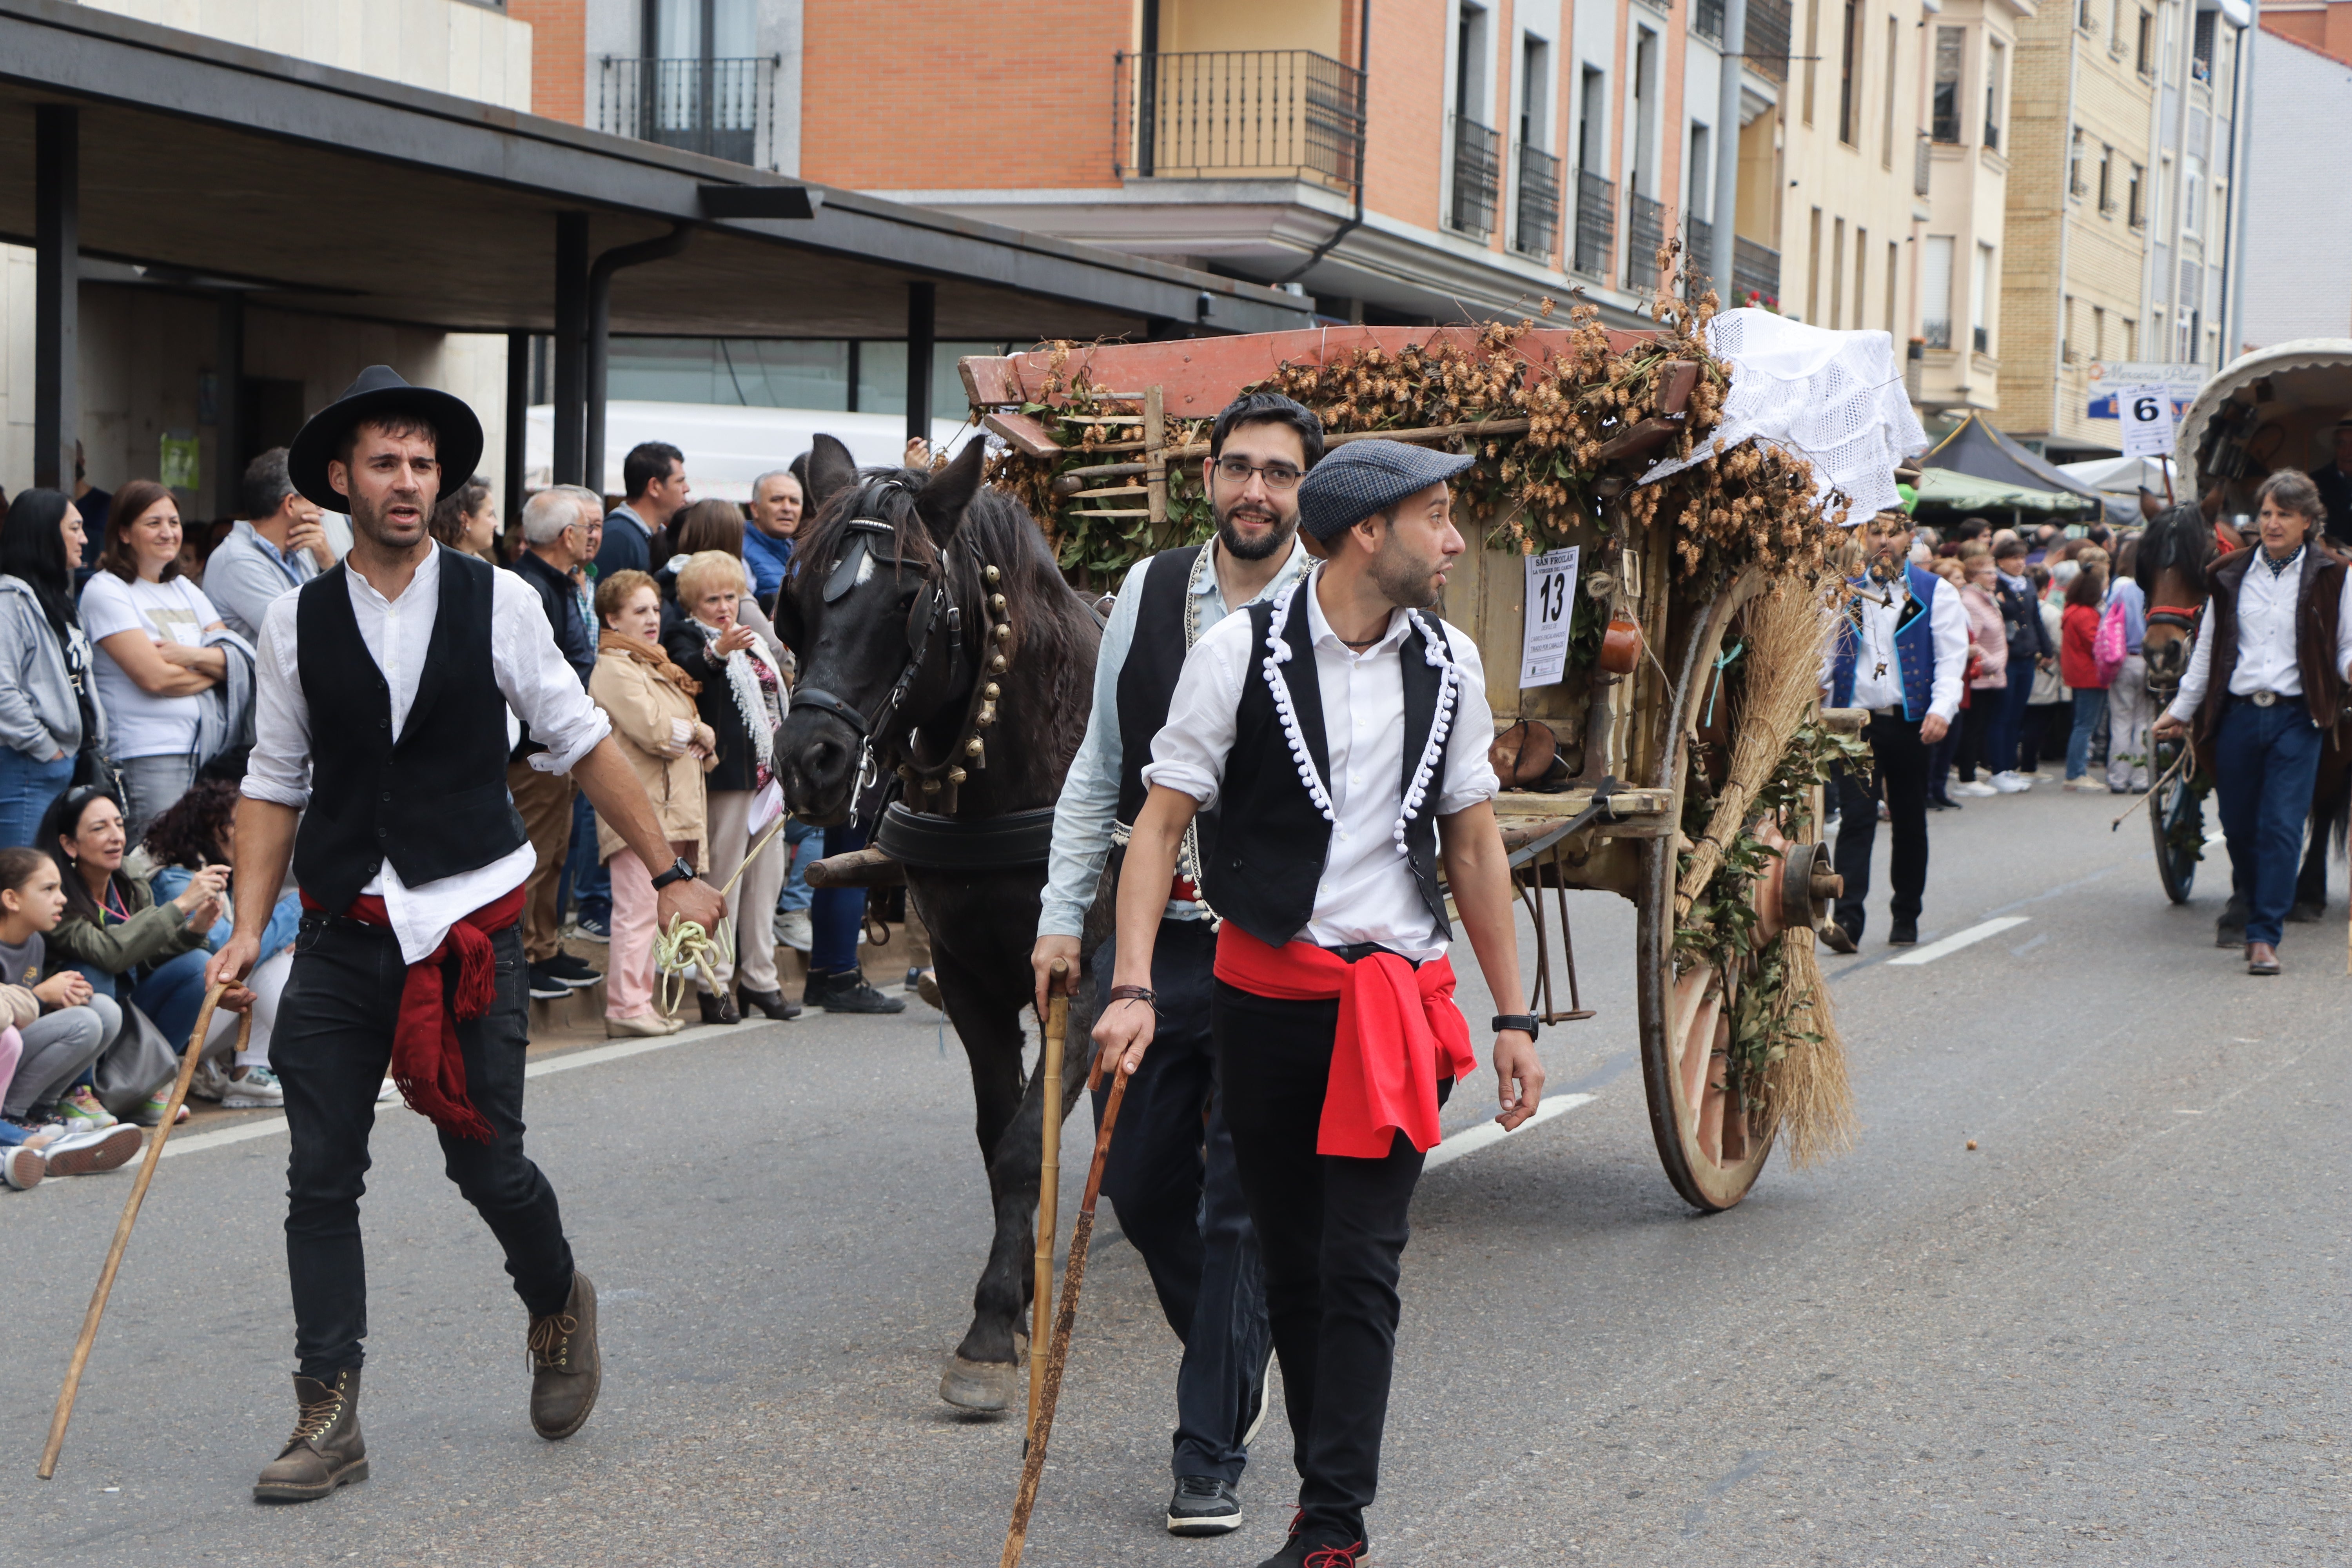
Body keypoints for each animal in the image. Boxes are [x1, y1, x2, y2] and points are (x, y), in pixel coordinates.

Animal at [771, 435, 1101, 1420]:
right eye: (798, 601)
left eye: (907, 601)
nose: (808, 762)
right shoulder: (966, 973)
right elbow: (1002, 1135)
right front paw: (1010, 1302)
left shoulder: (1089, 970)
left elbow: (1028, 1142)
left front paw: (992, 1327)